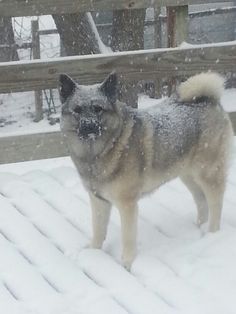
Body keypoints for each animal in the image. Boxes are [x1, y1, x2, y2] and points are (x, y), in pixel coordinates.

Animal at [58, 72, 232, 270]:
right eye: (77, 110)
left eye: (98, 109)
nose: (88, 126)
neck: (102, 150)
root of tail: (210, 100)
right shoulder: (98, 200)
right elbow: (98, 229)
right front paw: (93, 252)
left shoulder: (127, 205)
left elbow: (127, 237)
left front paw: (127, 262)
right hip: (188, 175)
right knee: (201, 201)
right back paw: (200, 228)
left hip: (208, 174)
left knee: (215, 205)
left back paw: (212, 233)